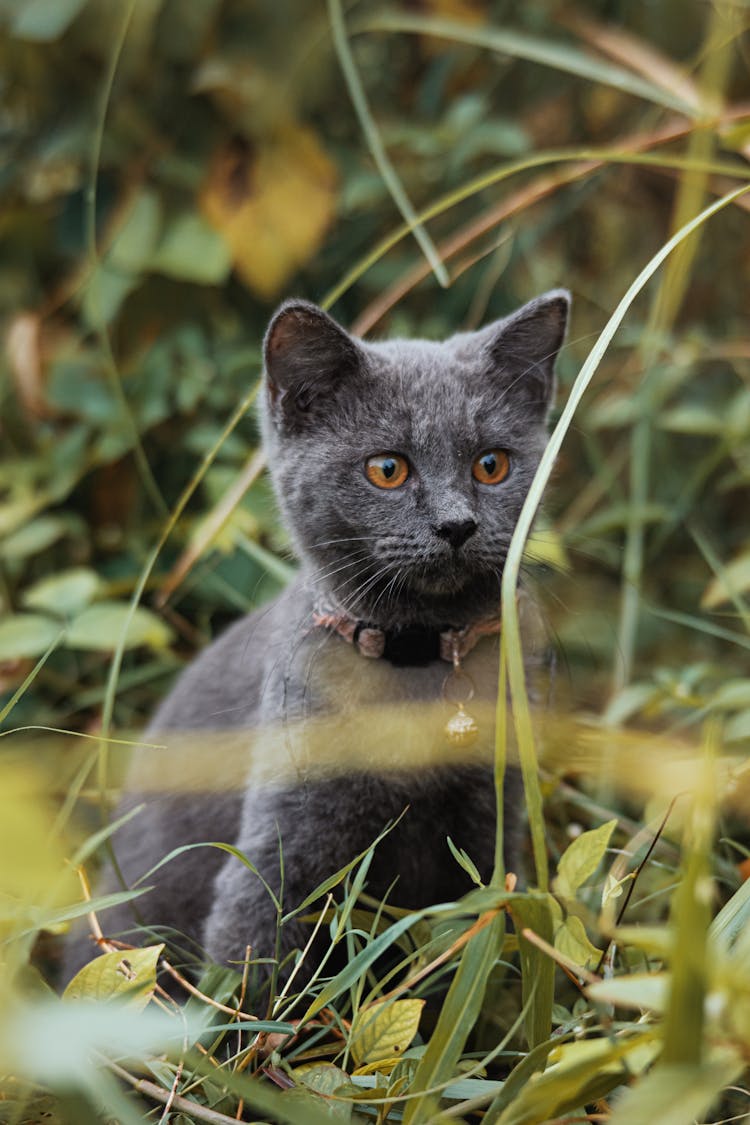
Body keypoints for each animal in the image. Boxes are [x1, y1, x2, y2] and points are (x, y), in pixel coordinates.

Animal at [64, 292, 568, 985]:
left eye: (491, 465)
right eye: (388, 469)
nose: (457, 525)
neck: (414, 663)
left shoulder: (490, 828)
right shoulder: (285, 845)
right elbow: (254, 966)